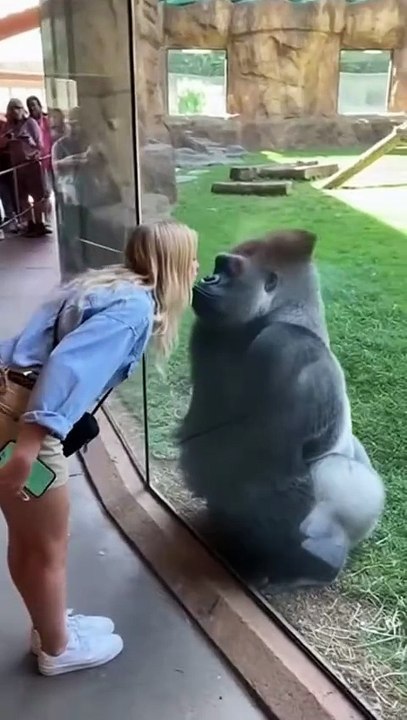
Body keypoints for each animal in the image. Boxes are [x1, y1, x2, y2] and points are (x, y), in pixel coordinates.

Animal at [177, 229, 385, 588]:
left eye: (229, 269)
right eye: (218, 266)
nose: (207, 278)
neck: (280, 313)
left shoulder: (286, 347)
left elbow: (273, 475)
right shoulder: (207, 332)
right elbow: (203, 440)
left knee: (341, 476)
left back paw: (315, 565)